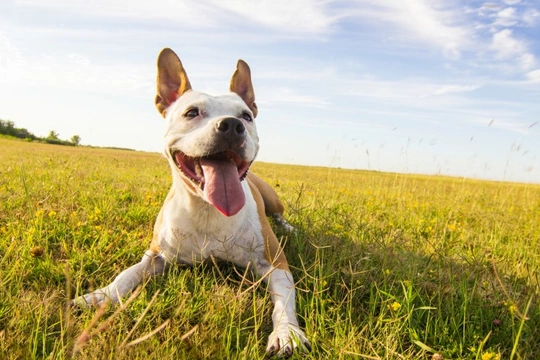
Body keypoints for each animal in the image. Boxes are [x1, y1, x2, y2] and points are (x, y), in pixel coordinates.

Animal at [72, 47, 310, 358]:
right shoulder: (156, 256)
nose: (231, 125)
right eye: (191, 113)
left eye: (246, 116)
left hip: (272, 199)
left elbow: (284, 300)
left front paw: (287, 333)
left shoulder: (275, 263)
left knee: (280, 215)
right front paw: (99, 296)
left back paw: (289, 228)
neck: (207, 210)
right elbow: (126, 275)